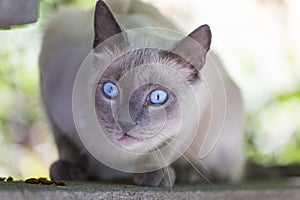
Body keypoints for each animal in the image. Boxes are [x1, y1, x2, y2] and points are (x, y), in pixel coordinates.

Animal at [39, 0, 245, 188]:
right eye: (110, 89)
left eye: (157, 97)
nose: (125, 124)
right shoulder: (49, 91)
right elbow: (65, 142)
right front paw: (69, 168)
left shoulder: (192, 118)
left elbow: (166, 147)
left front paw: (154, 175)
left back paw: (189, 173)